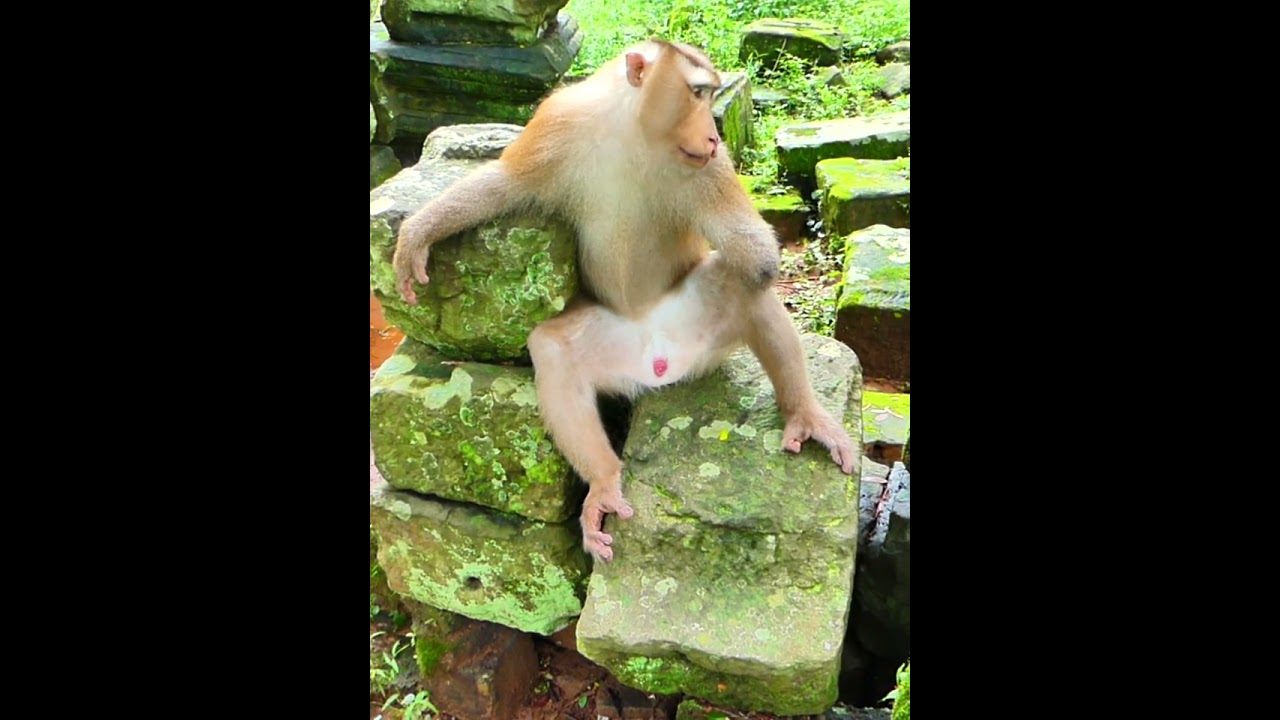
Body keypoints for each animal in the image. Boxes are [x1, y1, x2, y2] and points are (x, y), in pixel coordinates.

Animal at [391, 38, 857, 562]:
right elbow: (502, 186)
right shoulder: (557, 124)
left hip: (703, 333)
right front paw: (421, 230)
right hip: (615, 347)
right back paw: (604, 482)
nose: (712, 136)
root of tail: (662, 363)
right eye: (698, 92)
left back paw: (803, 411)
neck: (634, 133)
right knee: (552, 349)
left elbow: (757, 258)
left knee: (745, 287)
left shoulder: (705, 169)